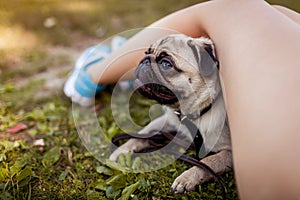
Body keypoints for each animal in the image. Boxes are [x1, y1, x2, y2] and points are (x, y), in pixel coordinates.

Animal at [109, 34, 233, 194]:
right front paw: (122, 150)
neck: (190, 115)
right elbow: (142, 134)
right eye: (147, 52)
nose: (145, 60)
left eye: (166, 64)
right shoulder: (166, 121)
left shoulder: (230, 153)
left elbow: (209, 161)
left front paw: (186, 179)